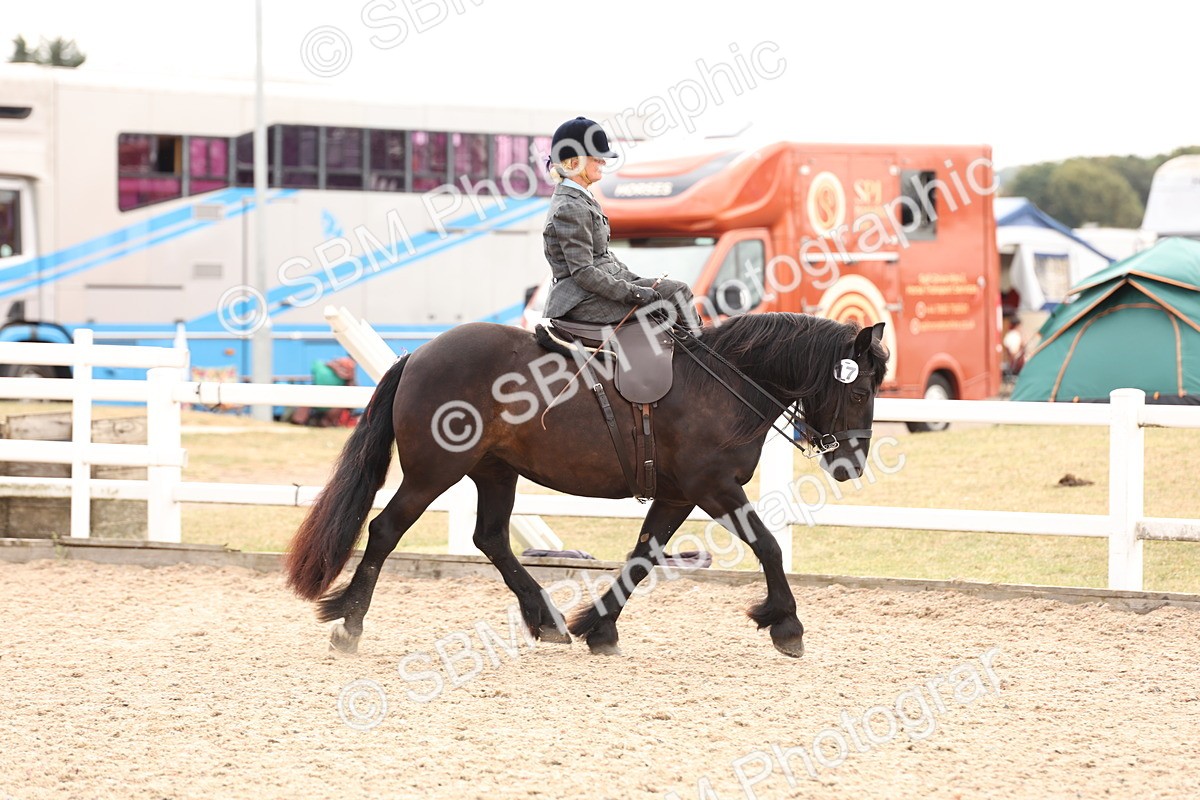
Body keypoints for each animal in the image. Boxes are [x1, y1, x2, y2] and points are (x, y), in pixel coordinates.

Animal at [284, 312, 889, 658]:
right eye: (860, 392)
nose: (852, 465)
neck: (721, 386)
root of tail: (419, 354)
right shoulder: (714, 488)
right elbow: (767, 546)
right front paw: (786, 623)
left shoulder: (677, 495)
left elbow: (642, 557)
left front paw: (599, 627)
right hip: (435, 472)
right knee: (385, 530)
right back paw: (350, 625)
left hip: (495, 470)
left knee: (491, 539)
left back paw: (545, 618)